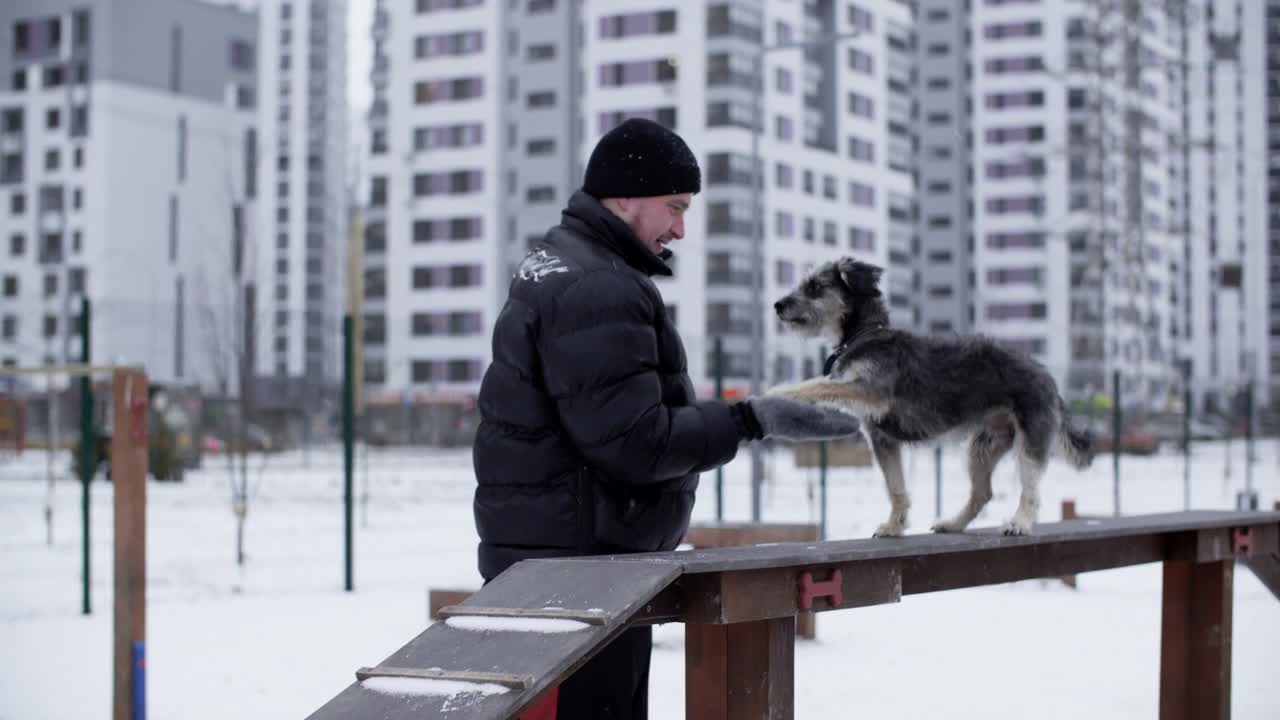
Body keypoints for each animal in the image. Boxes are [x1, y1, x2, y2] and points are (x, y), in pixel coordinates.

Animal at [762, 256, 1095, 532]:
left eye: (814, 287)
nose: (777, 304)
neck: (865, 336)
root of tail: (1048, 378)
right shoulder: (882, 440)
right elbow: (896, 487)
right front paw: (894, 526)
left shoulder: (870, 388)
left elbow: (818, 383)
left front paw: (780, 391)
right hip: (981, 446)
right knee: (983, 492)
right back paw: (953, 523)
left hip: (1029, 442)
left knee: (1031, 490)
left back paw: (1020, 523)